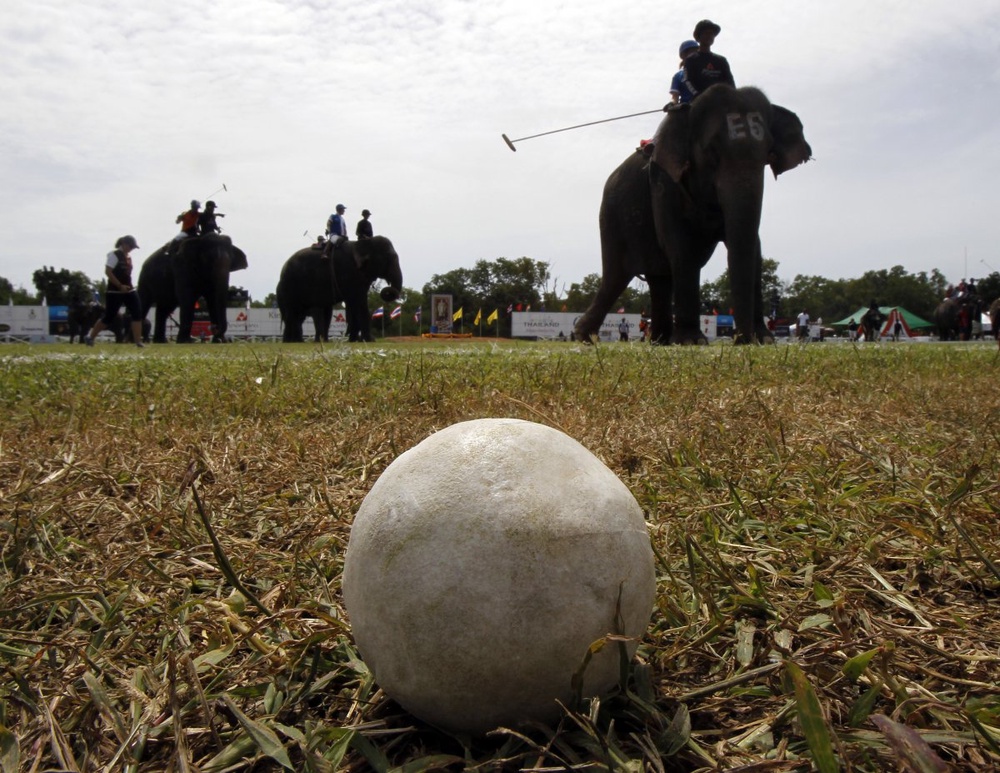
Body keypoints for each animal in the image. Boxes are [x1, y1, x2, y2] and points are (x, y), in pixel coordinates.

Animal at [572, 83, 812, 344]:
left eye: (769, 154)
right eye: (712, 153)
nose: (740, 339)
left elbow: (755, 250)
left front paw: (764, 340)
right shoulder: (663, 183)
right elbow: (680, 246)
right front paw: (691, 341)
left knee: (658, 279)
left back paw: (659, 341)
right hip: (611, 219)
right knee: (616, 277)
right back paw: (585, 336)